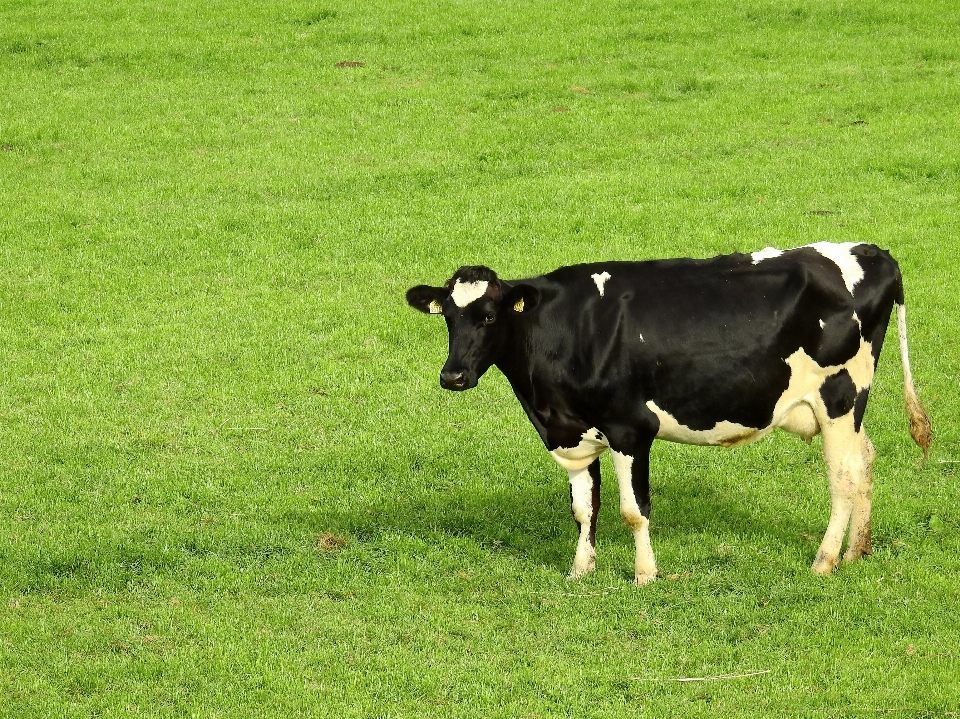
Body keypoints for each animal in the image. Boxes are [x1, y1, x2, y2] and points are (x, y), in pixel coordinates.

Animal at [404, 242, 928, 584]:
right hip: (846, 410)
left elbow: (633, 511)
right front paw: (580, 570)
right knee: (866, 459)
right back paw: (857, 552)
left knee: (844, 475)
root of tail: (871, 251)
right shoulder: (573, 432)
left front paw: (645, 574)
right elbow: (583, 508)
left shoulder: (630, 429)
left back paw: (825, 561)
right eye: (448, 316)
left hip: (840, 396)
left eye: (490, 316)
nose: (453, 376)